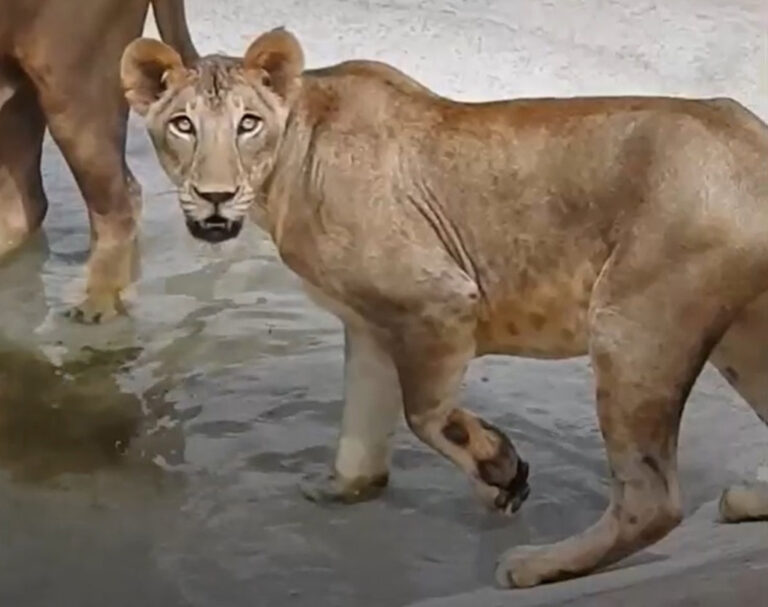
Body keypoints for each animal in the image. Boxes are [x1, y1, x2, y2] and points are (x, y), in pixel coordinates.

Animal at [120, 28, 768, 588]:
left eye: (247, 124)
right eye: (183, 125)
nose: (216, 196)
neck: (285, 167)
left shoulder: (438, 300)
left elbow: (424, 412)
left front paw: (503, 471)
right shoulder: (368, 324)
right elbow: (361, 431)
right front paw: (343, 491)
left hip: (632, 325)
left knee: (651, 500)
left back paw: (535, 566)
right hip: (740, 338)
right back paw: (746, 502)